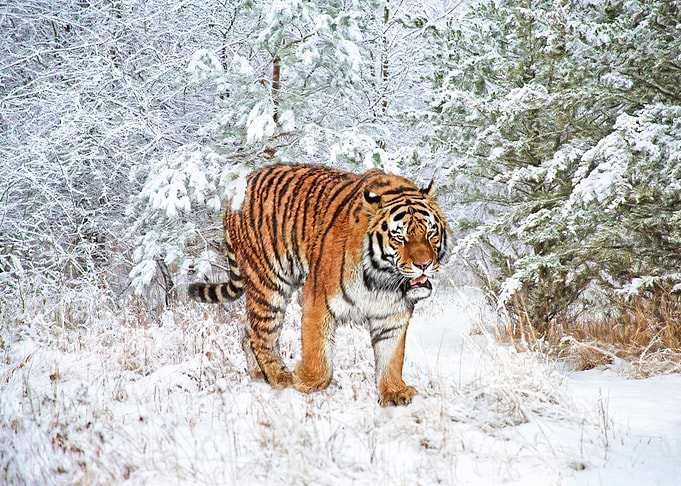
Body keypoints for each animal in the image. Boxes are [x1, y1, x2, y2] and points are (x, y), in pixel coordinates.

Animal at [188, 164, 448, 406]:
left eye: (430, 233)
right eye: (399, 237)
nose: (424, 264)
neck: (383, 281)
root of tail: (241, 183)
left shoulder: (392, 315)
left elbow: (391, 356)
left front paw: (394, 393)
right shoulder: (318, 300)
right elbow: (318, 354)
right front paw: (303, 381)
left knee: (248, 331)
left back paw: (259, 377)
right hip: (268, 285)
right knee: (261, 336)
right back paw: (281, 378)